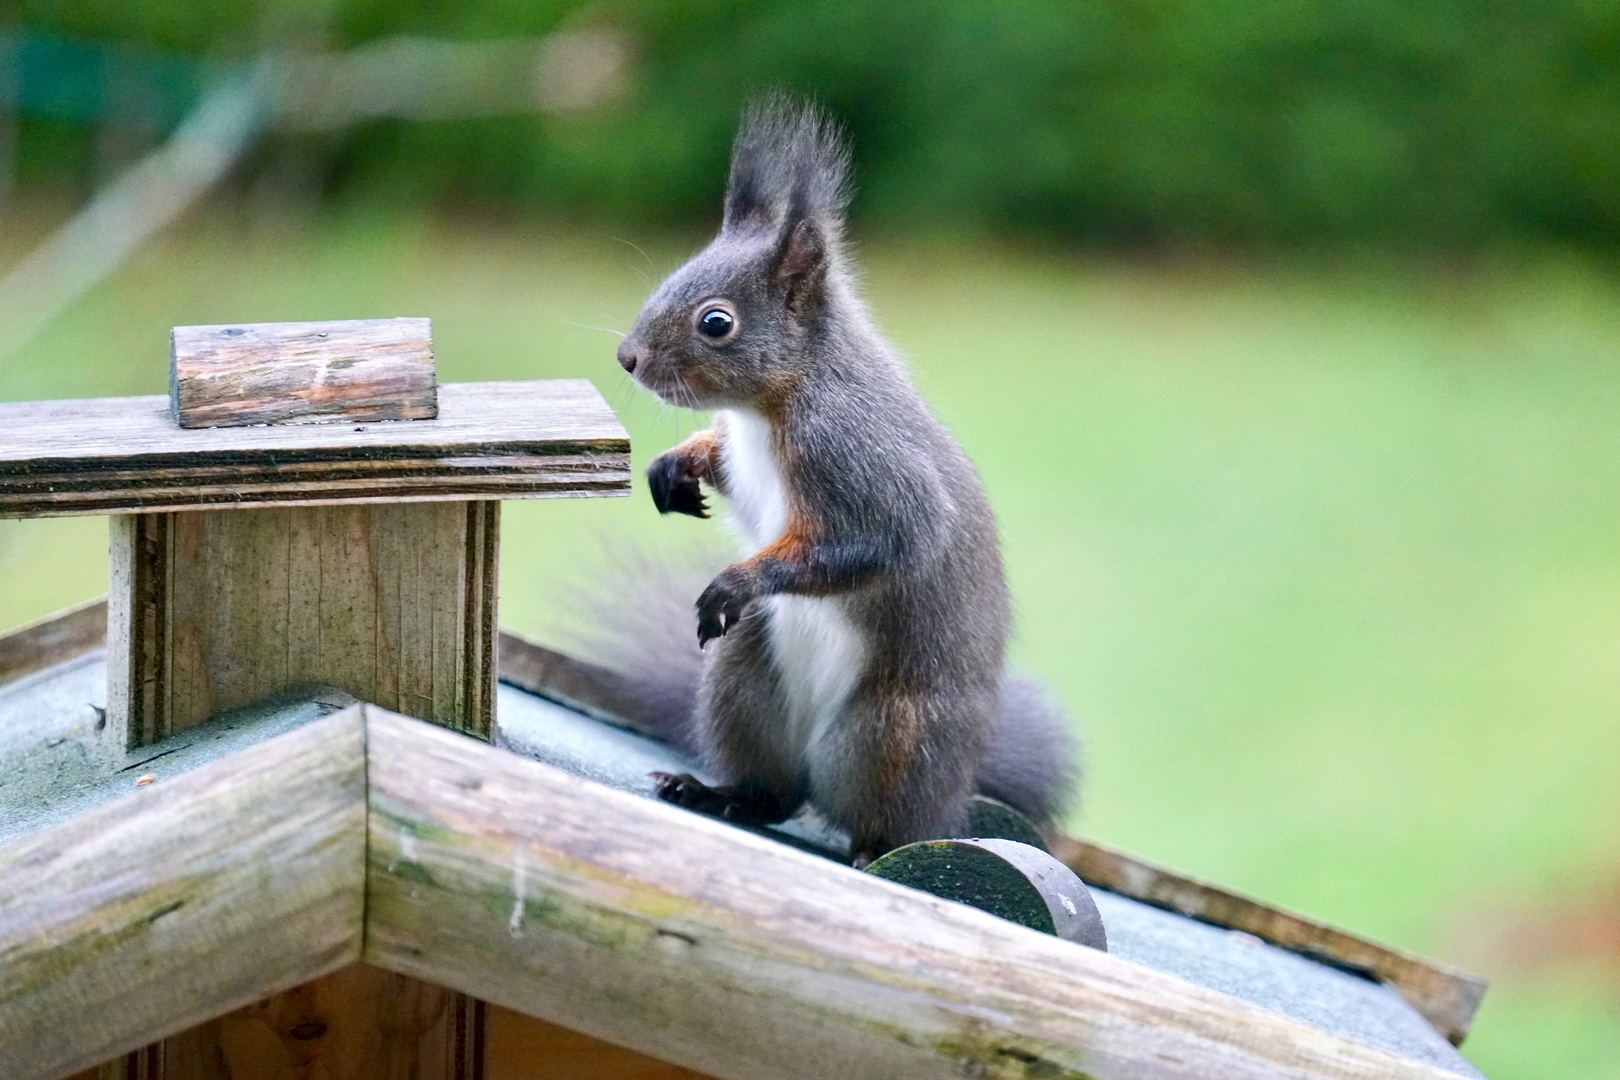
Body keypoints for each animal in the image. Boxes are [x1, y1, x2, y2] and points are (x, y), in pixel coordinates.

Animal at [609, 95, 1075, 867]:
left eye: (716, 322)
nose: (628, 358)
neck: (772, 404)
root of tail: (956, 791)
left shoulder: (857, 456)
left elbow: (883, 540)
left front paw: (737, 580)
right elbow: (721, 463)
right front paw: (675, 465)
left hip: (890, 735)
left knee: (877, 816)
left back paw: (873, 851)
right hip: (743, 679)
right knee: (776, 795)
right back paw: (717, 792)